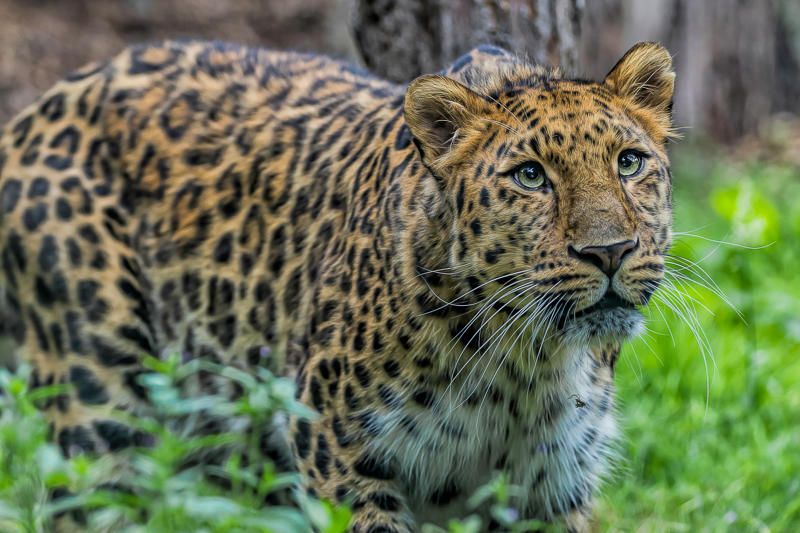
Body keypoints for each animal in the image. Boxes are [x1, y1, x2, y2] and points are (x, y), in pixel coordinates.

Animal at [0, 39, 676, 532]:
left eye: (629, 163)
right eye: (530, 176)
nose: (610, 251)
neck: (525, 367)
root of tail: (37, 108)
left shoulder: (552, 487)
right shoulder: (339, 452)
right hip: (100, 409)